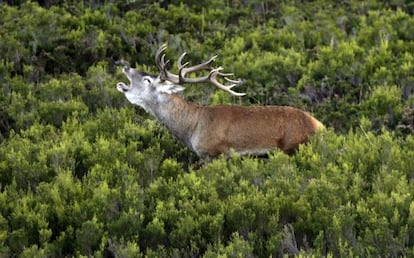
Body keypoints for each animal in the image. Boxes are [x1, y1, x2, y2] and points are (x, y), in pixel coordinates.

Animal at [116, 44, 324, 159]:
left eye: (147, 80)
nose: (126, 67)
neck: (192, 127)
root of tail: (319, 126)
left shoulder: (215, 153)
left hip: (293, 147)